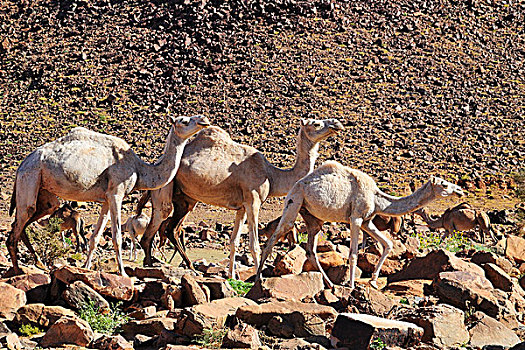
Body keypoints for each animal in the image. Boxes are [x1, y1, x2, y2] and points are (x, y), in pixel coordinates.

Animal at [7, 115, 209, 276]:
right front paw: (123, 273)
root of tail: (21, 165)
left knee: (27, 221)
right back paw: (17, 270)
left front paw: (86, 267)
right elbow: (117, 237)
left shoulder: (105, 199)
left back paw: (39, 264)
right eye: (184, 121)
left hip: (45, 194)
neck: (139, 169)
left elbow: (94, 238)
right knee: (18, 225)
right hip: (30, 177)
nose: (204, 120)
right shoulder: (116, 194)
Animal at [139, 119, 344, 278]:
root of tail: (157, 163)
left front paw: (232, 276)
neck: (272, 175)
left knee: (172, 229)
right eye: (316, 123)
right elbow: (254, 244)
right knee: (160, 220)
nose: (337, 124)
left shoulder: (242, 206)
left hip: (186, 199)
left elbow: (234, 241)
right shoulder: (253, 201)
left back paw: (189, 266)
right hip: (164, 188)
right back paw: (151, 265)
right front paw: (257, 277)